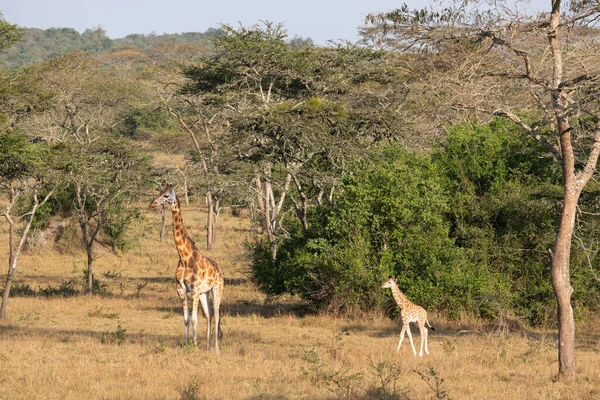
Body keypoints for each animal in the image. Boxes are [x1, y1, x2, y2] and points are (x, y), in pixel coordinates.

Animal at [150, 186, 225, 352]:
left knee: (217, 314)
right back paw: (208, 346)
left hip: (217, 289)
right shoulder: (181, 289)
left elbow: (194, 319)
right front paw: (186, 343)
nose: (152, 203)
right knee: (209, 315)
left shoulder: (194, 289)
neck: (184, 258)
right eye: (159, 192)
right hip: (204, 293)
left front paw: (194, 345)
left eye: (166, 195)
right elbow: (186, 319)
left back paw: (216, 348)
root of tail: (220, 272)